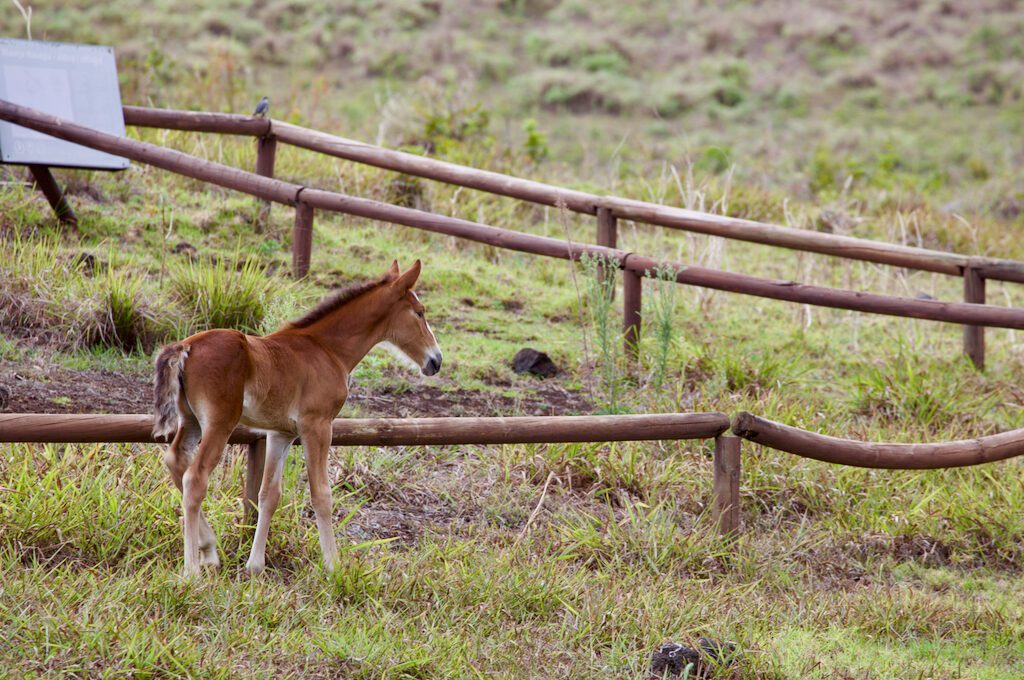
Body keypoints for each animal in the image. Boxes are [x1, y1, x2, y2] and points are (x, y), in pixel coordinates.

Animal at [151, 262, 440, 577]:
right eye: (420, 312)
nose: (436, 361)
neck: (326, 349)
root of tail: (185, 346)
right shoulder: (317, 425)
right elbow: (321, 494)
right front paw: (334, 566)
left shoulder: (281, 434)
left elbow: (269, 495)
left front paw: (255, 566)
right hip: (219, 423)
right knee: (195, 478)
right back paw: (192, 570)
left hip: (190, 419)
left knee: (175, 460)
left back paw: (209, 549)